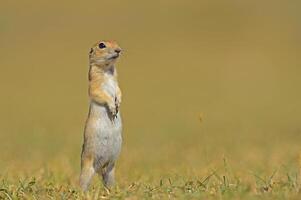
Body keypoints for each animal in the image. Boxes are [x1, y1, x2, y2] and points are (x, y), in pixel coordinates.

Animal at [79, 40, 123, 191]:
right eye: (102, 45)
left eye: (116, 41)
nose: (119, 50)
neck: (107, 71)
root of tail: (100, 168)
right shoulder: (95, 85)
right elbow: (100, 94)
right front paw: (113, 108)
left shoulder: (117, 84)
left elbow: (119, 91)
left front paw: (118, 102)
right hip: (87, 168)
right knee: (82, 183)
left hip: (111, 170)